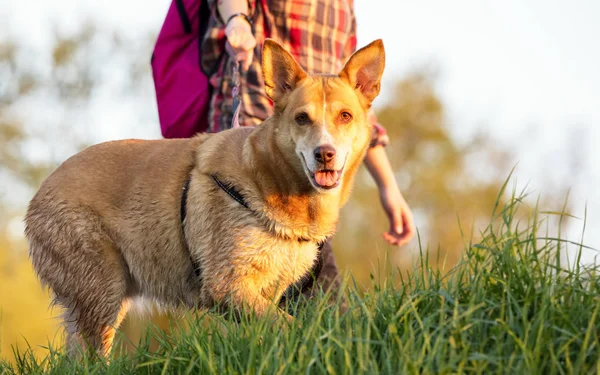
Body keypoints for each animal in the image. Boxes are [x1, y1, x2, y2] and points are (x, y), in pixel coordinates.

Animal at [25, 39, 384, 358]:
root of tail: (39, 194)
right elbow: (290, 324)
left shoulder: (266, 291)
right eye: (301, 118)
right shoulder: (226, 285)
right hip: (101, 290)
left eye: (345, 116)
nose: (324, 154)